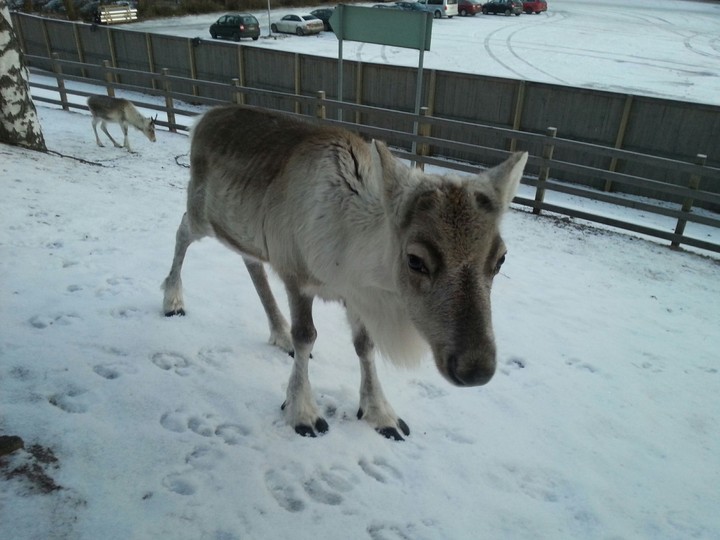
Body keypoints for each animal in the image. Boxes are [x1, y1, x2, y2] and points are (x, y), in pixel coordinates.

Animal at [162, 104, 528, 441]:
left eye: (501, 259)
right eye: (415, 260)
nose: (477, 368)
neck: (347, 256)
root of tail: (203, 118)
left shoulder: (357, 297)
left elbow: (365, 347)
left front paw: (381, 413)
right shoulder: (296, 276)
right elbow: (306, 336)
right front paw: (303, 411)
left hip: (244, 231)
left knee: (250, 262)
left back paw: (279, 332)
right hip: (205, 214)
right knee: (182, 229)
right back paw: (173, 300)